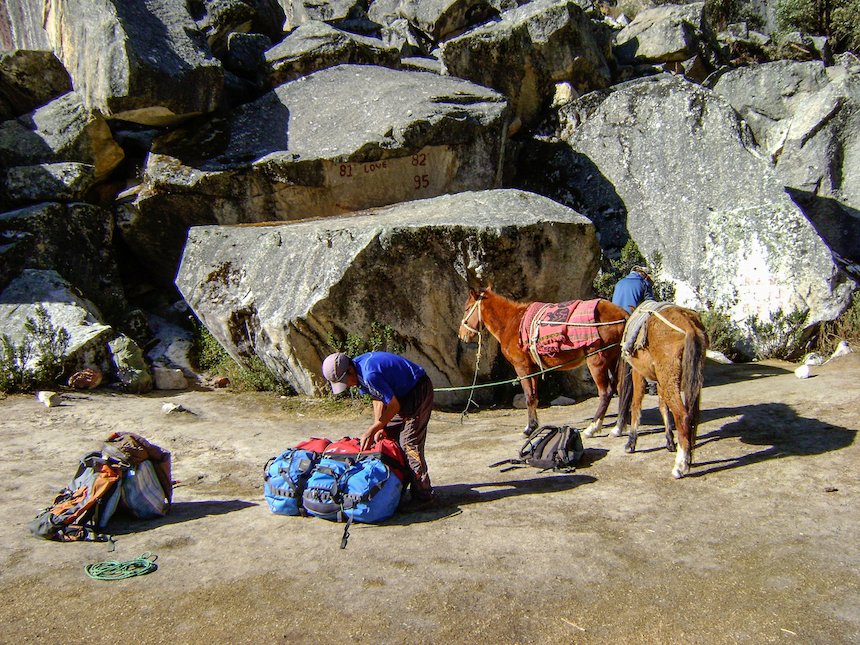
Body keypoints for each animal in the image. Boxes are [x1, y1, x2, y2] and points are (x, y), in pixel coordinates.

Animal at [456, 288, 632, 436]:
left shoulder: (522, 368)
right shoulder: (532, 369)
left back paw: (593, 427)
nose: (461, 334)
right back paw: (619, 426)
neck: (512, 322)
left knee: (606, 392)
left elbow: (528, 397)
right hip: (614, 360)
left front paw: (529, 428)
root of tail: (621, 314)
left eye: (467, 308)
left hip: (597, 361)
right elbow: (534, 396)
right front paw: (534, 425)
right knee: (620, 388)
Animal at [616, 304, 708, 478]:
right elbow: (663, 407)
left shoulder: (638, 373)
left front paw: (631, 442)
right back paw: (687, 457)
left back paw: (680, 466)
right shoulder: (659, 381)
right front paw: (669, 441)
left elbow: (636, 404)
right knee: (692, 416)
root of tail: (688, 325)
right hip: (687, 380)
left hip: (669, 378)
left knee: (683, 416)